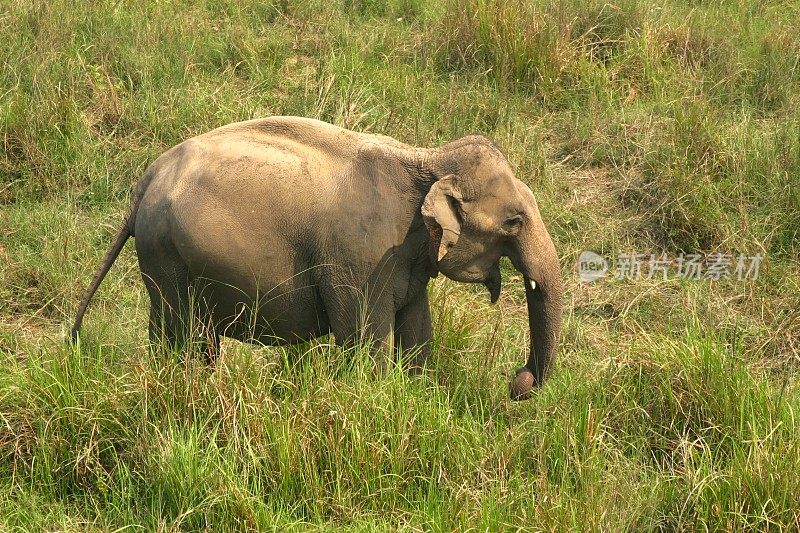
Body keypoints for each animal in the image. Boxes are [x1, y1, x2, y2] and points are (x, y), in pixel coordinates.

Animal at [73, 116, 564, 400]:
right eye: (514, 222)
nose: (518, 383)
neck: (428, 157)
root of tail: (147, 178)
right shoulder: (361, 262)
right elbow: (366, 345)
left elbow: (418, 337)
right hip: (165, 256)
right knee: (178, 334)